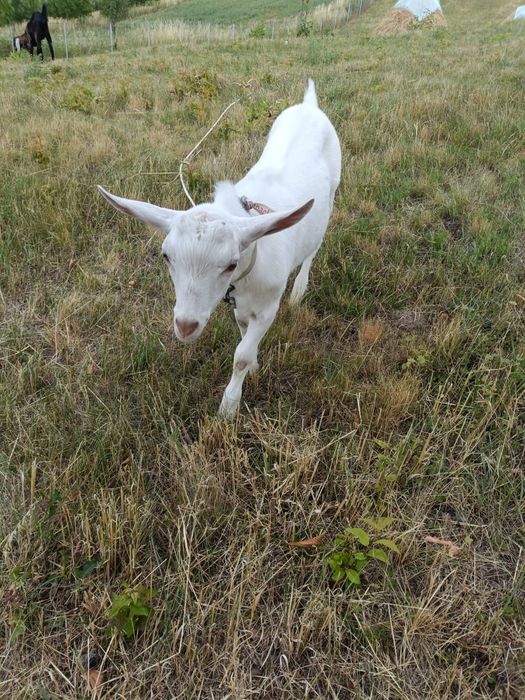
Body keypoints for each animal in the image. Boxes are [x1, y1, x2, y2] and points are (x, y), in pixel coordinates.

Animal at [98, 80, 341, 416]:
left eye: (230, 264)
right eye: (166, 256)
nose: (186, 326)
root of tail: (309, 105)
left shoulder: (268, 307)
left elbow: (240, 354)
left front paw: (229, 406)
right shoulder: (241, 306)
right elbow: (242, 334)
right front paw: (254, 365)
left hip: (330, 195)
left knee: (314, 247)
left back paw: (300, 289)